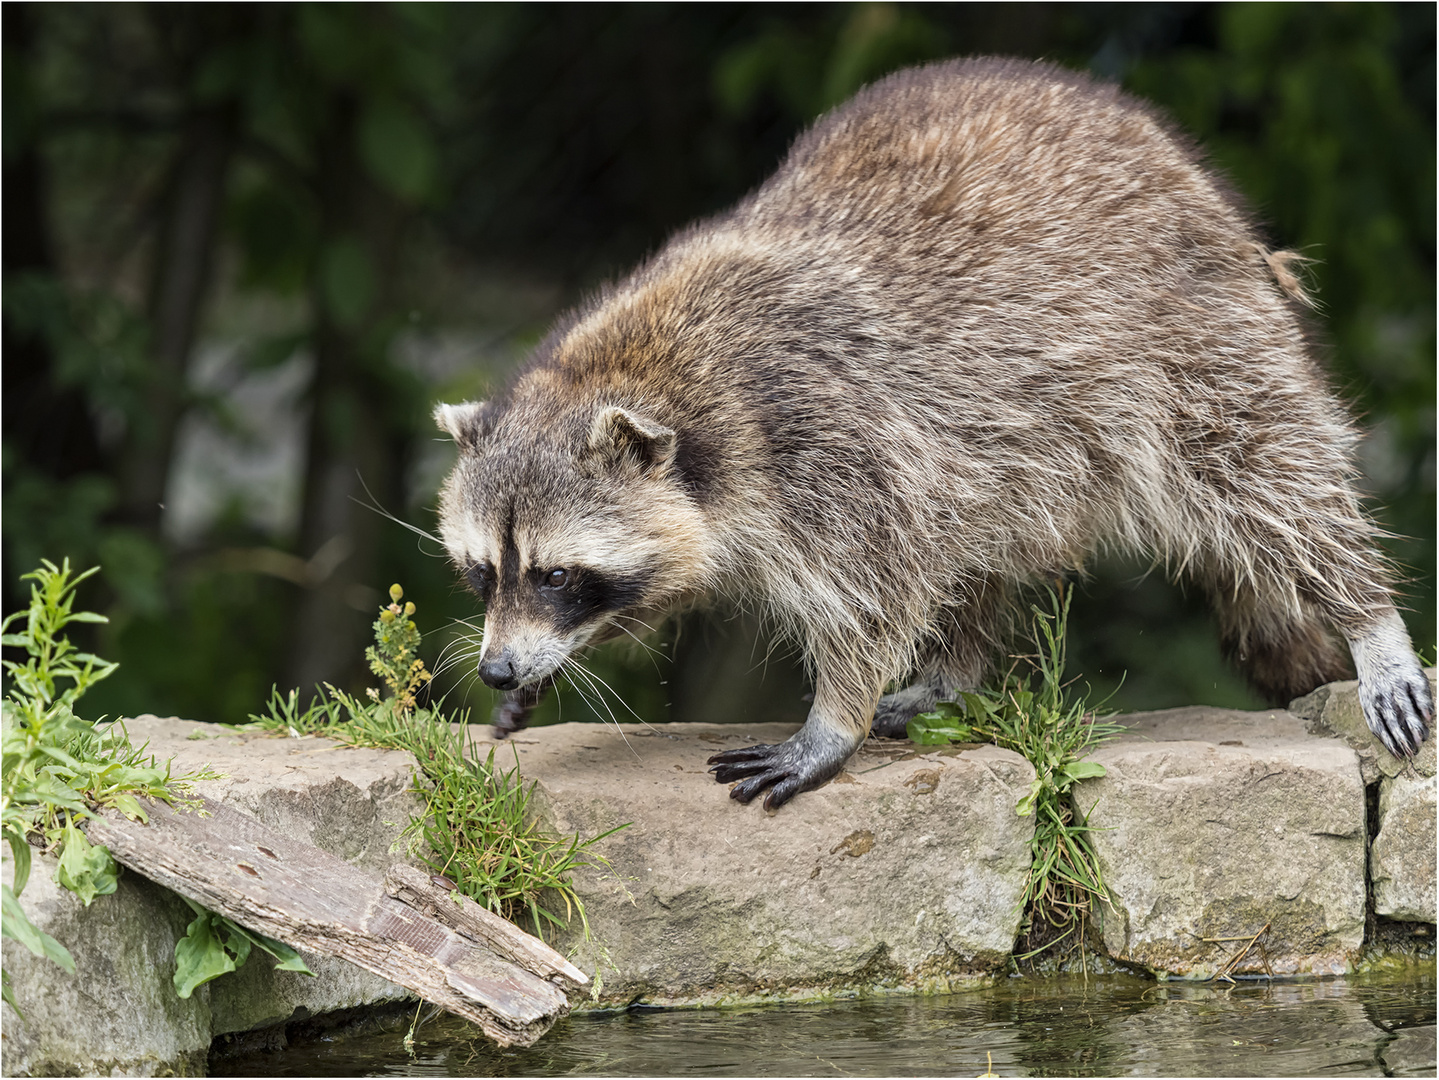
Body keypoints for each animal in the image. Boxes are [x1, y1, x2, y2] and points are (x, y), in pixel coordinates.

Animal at [431, 55, 1433, 805]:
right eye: (483, 573)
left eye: (558, 575)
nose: (497, 670)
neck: (632, 372)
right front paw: (546, 669)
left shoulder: (824, 430)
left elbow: (874, 582)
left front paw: (830, 719)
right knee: (981, 529)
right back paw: (955, 670)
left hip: (1190, 339)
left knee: (1265, 473)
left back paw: (1364, 612)